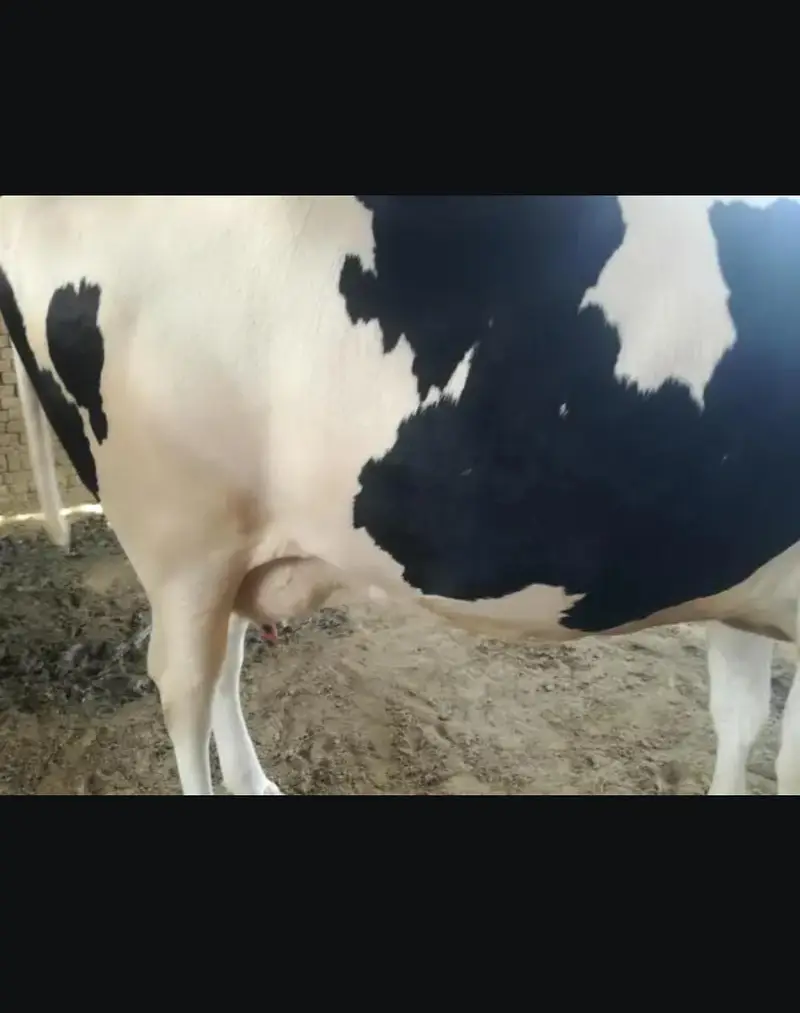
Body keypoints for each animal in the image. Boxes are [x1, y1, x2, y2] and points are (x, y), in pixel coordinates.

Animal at [0, 195, 797, 797]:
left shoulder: (741, 588)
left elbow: (739, 720)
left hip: (229, 540)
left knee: (222, 663)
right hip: (178, 533)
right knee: (183, 689)